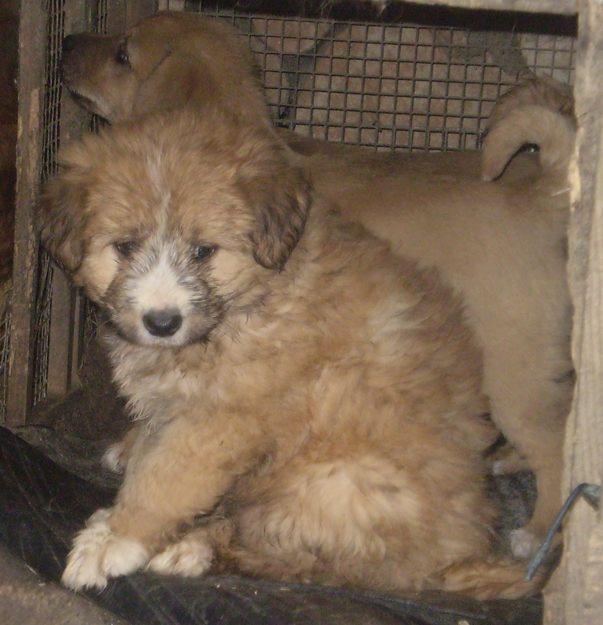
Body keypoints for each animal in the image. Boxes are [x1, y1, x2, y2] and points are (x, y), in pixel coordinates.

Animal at [39, 109, 544, 596]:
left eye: (203, 251)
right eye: (125, 247)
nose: (161, 322)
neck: (249, 302)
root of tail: (456, 554)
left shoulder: (223, 420)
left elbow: (165, 479)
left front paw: (118, 538)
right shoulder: (175, 407)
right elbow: (148, 455)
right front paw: (114, 512)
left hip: (335, 484)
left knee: (309, 562)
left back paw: (192, 549)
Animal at [62, 9, 576, 556]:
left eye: (123, 54)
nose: (67, 42)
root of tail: (540, 193)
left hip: (511, 376)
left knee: (555, 447)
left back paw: (536, 533)